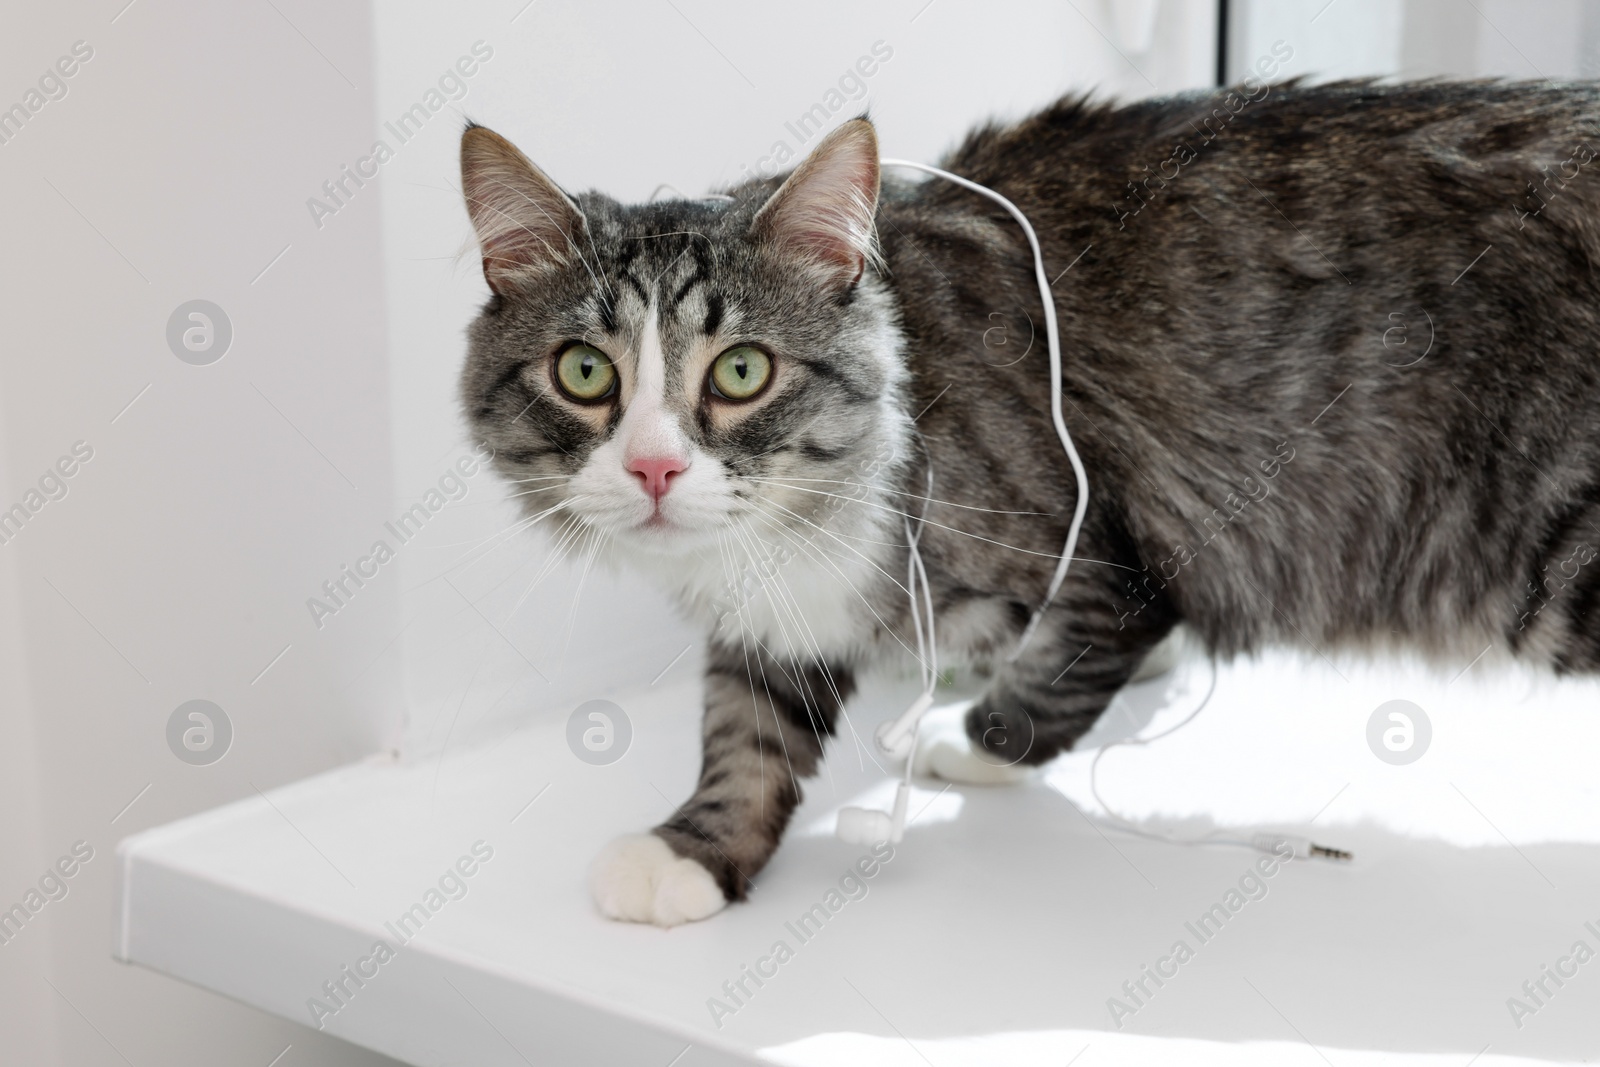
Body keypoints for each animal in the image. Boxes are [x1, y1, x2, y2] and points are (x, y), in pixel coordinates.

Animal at [457, 77, 1600, 927]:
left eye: (741, 371)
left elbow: (1052, 679)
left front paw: (967, 739)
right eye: (585, 373)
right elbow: (749, 728)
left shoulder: (1104, 556)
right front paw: (695, 847)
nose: (654, 467)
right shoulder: (776, 611)